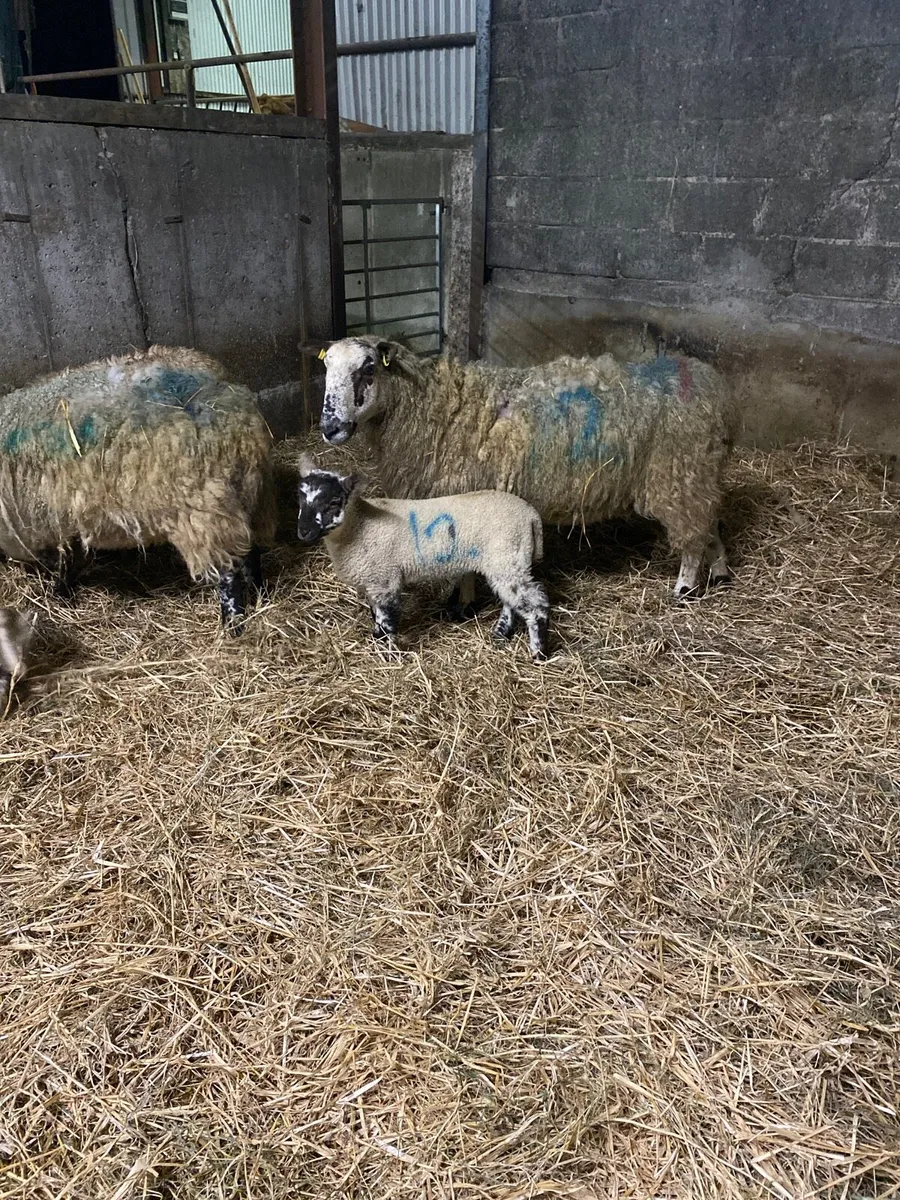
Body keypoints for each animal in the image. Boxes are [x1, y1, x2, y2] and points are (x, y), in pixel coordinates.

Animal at [0, 346, 275, 629]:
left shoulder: (48, 514)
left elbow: (64, 556)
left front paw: (60, 591)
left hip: (205, 507)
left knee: (228, 572)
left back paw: (233, 625)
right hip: (250, 494)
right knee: (249, 553)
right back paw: (260, 595)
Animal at [296, 454, 550, 660]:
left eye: (333, 502)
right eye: (299, 499)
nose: (304, 532)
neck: (360, 526)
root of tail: (531, 515)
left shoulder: (385, 579)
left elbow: (387, 620)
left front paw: (390, 655)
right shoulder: (373, 580)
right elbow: (375, 614)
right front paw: (376, 638)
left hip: (507, 557)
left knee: (536, 605)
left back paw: (539, 653)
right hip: (507, 562)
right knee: (511, 600)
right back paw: (500, 634)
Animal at [314, 337, 733, 599]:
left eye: (368, 368)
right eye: (326, 370)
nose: (329, 428)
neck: (434, 405)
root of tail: (710, 384)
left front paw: (461, 602)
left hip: (677, 474)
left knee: (693, 534)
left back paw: (685, 588)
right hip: (699, 472)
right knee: (710, 521)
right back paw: (721, 572)